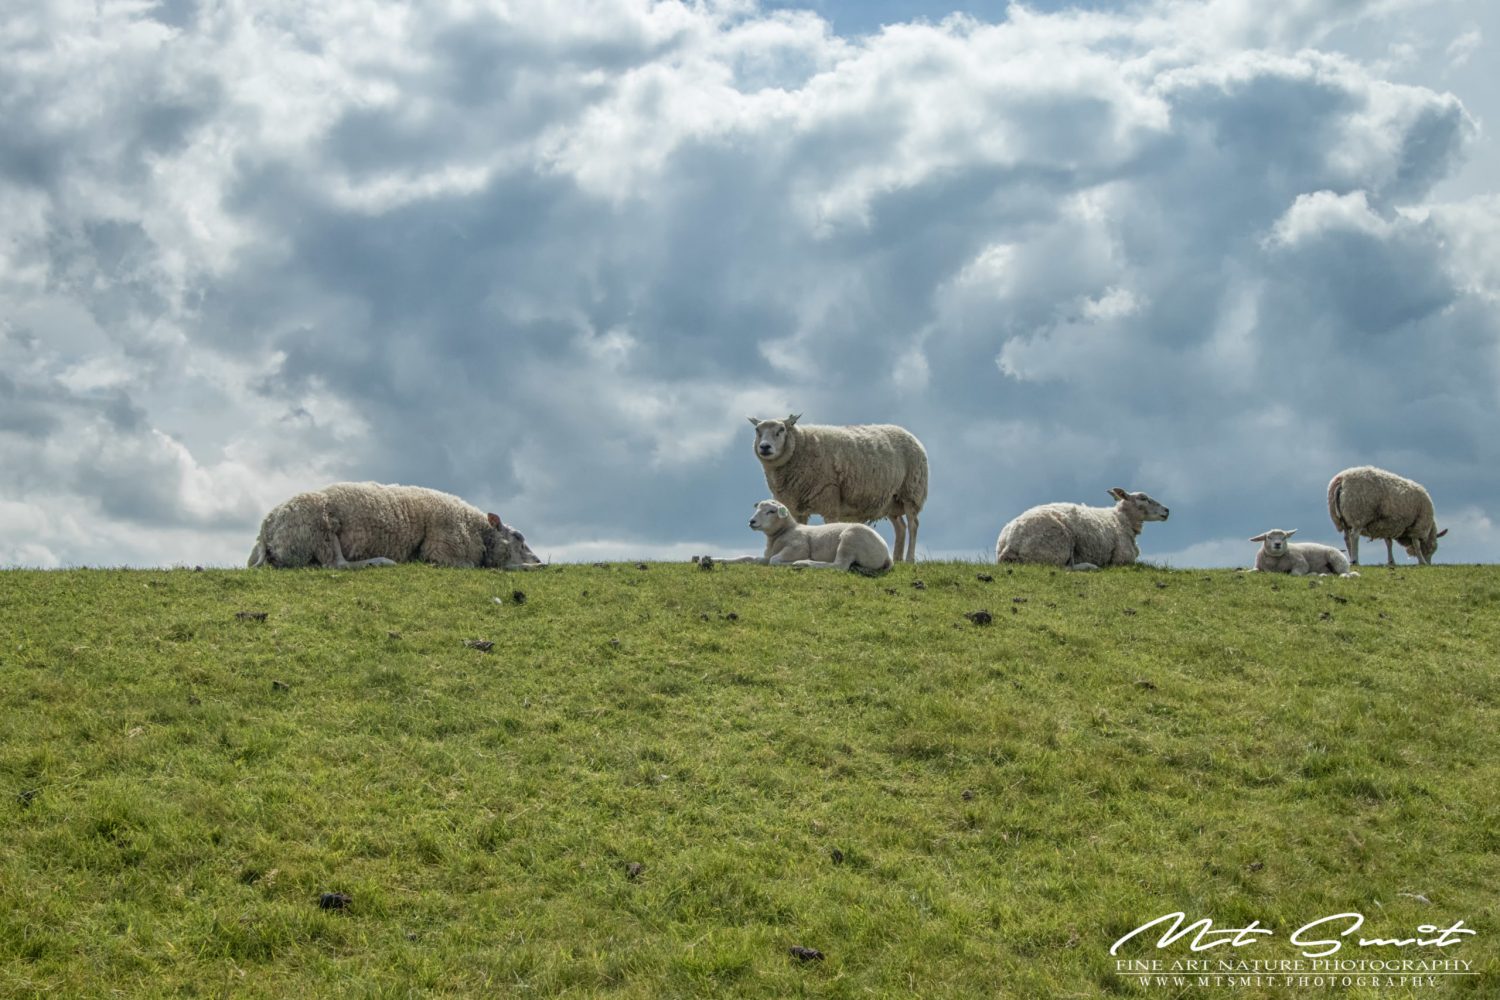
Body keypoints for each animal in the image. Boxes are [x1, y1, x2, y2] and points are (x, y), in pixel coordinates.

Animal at [249, 482, 543, 569]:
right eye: (518, 538)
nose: (539, 560)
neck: (476, 530)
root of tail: (266, 529)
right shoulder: (441, 552)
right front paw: (527, 567)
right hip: (321, 526)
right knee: (337, 564)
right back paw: (380, 561)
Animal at [747, 410, 924, 560]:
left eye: (781, 429)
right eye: (757, 430)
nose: (764, 447)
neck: (800, 447)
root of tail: (907, 433)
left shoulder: (829, 497)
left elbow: (831, 526)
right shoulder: (795, 505)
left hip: (912, 492)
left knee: (913, 524)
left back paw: (909, 559)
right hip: (892, 500)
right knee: (900, 527)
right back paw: (898, 559)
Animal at [996, 491, 1170, 569]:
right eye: (1143, 498)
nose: (1167, 510)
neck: (1121, 519)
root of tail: (1010, 543)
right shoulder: (1122, 559)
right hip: (1055, 548)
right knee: (1062, 567)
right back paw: (1089, 566)